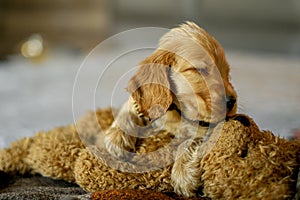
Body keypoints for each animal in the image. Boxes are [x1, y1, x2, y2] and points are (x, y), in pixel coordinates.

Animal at [97, 21, 238, 197]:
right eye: (199, 70)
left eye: (226, 73)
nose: (232, 101)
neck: (175, 111)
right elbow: (129, 109)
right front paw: (115, 139)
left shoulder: (206, 128)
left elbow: (189, 142)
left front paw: (183, 176)